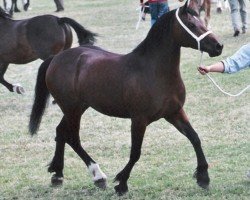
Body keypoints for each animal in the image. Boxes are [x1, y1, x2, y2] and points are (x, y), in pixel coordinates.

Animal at [28, 0, 223, 195]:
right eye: (191, 24)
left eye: (202, 21)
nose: (218, 46)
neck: (154, 71)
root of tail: (56, 58)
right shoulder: (139, 120)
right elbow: (135, 152)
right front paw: (121, 183)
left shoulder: (174, 113)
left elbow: (195, 138)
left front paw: (203, 177)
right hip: (72, 109)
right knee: (73, 138)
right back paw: (98, 176)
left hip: (77, 108)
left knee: (61, 132)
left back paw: (58, 174)